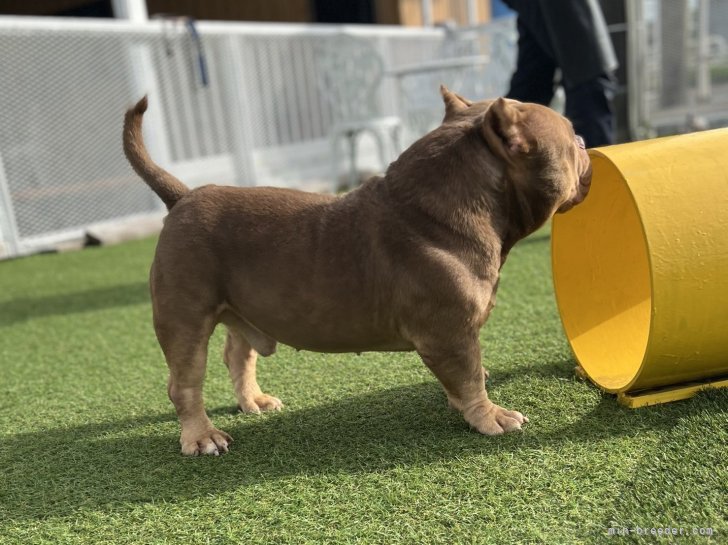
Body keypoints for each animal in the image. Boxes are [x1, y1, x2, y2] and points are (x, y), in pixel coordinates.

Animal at [123, 88, 592, 454]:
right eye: (571, 136)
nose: (586, 139)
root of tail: (182, 197)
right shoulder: (450, 336)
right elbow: (471, 378)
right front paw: (489, 416)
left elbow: (461, 380)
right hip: (184, 318)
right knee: (185, 382)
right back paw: (201, 436)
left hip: (240, 308)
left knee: (237, 354)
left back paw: (252, 400)